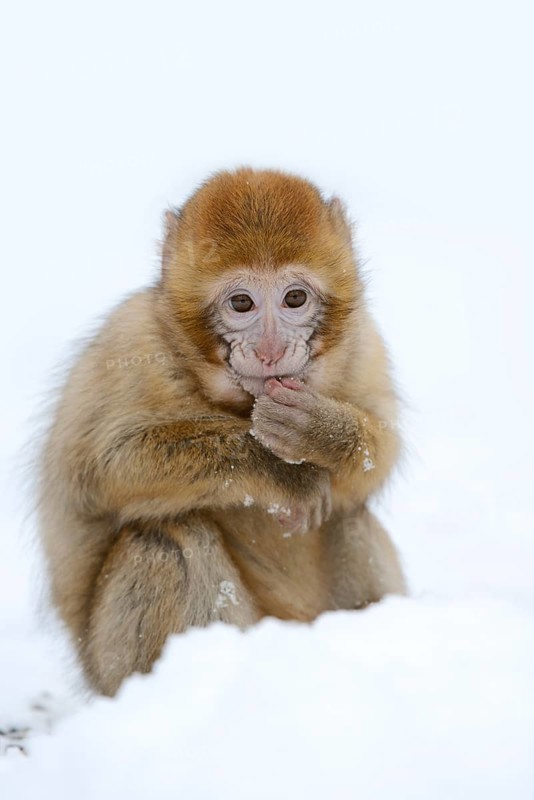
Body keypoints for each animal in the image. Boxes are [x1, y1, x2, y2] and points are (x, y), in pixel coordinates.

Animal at [38, 167, 406, 696]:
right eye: (241, 303)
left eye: (295, 298)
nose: (271, 350)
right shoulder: (129, 344)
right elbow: (106, 466)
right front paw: (281, 471)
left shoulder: (363, 342)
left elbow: (382, 452)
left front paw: (318, 433)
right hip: (109, 667)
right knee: (168, 539)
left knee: (350, 514)